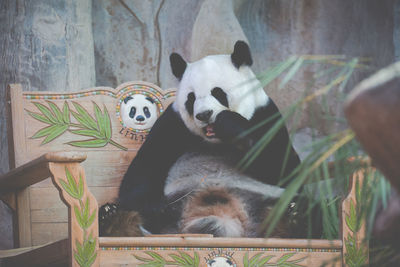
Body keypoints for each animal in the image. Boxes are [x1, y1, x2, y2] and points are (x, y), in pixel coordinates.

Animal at [100, 40, 304, 238]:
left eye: (218, 92)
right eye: (191, 98)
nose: (204, 115)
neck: (216, 141)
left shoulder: (266, 115)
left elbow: (286, 170)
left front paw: (229, 123)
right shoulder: (172, 124)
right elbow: (143, 169)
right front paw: (155, 208)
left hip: (266, 199)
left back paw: (294, 218)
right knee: (134, 213)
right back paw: (113, 219)